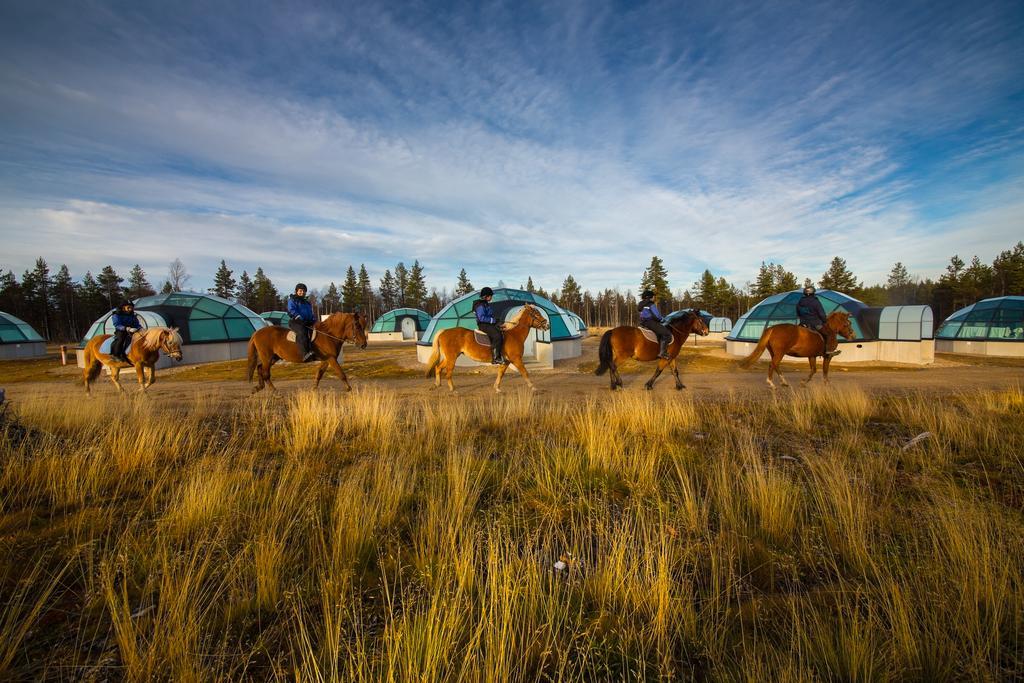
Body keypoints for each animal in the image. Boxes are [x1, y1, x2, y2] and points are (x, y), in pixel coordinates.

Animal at [423, 303, 552, 393]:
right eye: (536, 314)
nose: (547, 325)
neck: (515, 334)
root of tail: (444, 331)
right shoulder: (516, 359)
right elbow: (525, 372)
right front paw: (533, 388)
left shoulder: (506, 361)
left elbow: (500, 374)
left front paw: (497, 388)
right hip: (452, 358)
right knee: (448, 373)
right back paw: (453, 390)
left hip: (449, 357)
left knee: (438, 368)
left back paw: (437, 384)